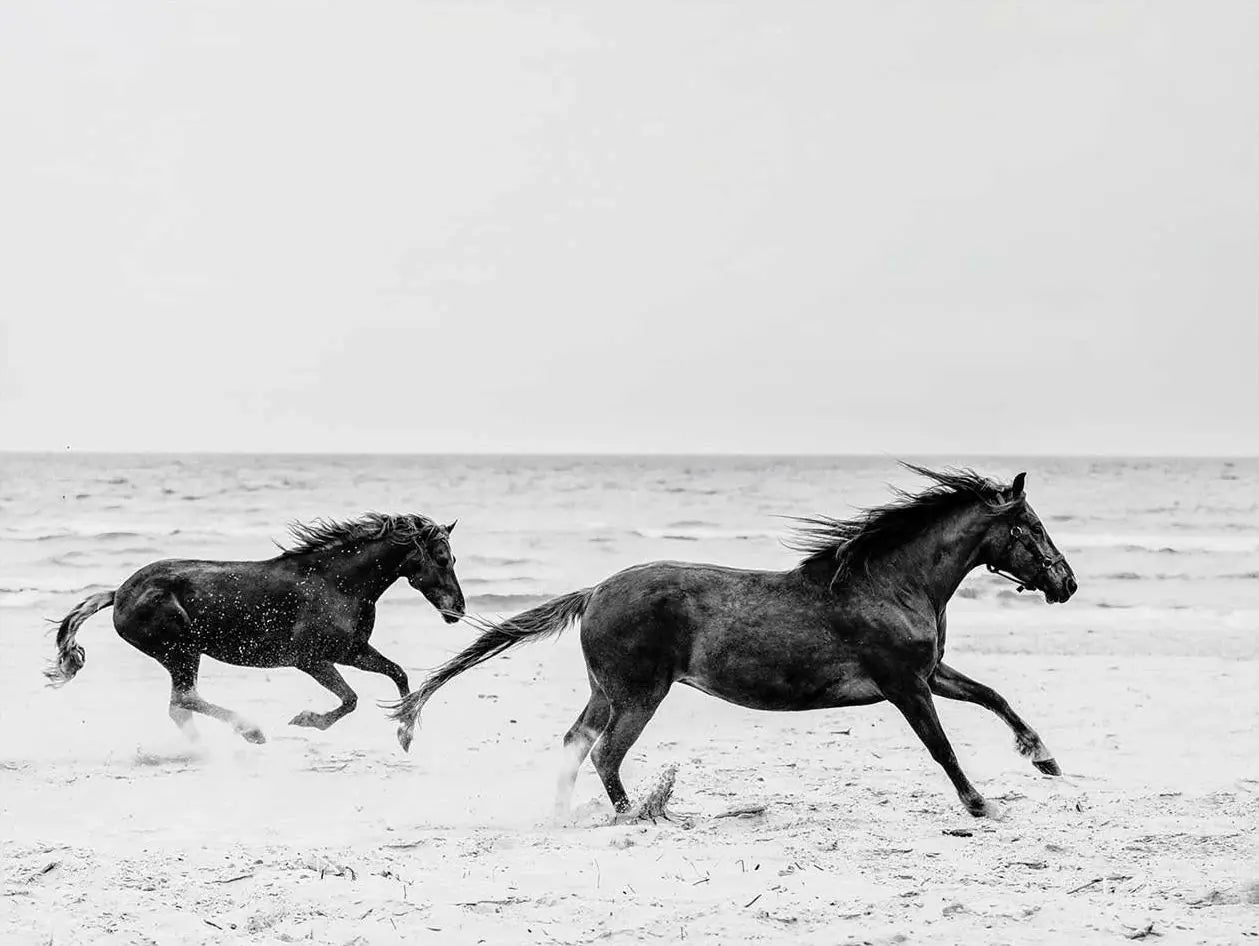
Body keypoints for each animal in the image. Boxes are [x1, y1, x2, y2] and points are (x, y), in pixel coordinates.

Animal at [47, 512, 464, 746]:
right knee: (185, 700)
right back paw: (250, 732)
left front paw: (405, 732)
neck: (336, 582)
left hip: (181, 655)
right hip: (182, 651)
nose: (459, 610)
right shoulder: (311, 659)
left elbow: (399, 675)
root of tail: (118, 593)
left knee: (180, 707)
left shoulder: (351, 651)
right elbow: (350, 699)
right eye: (443, 558)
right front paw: (307, 720)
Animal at [388, 466, 1078, 819]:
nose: (1067, 582)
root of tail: (596, 590)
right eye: (1031, 525)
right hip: (640, 694)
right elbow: (941, 747)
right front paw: (979, 804)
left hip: (606, 692)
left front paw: (1044, 759)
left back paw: (562, 814)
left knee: (576, 743)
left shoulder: (930, 673)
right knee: (606, 754)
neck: (888, 583)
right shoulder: (904, 684)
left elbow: (995, 697)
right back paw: (637, 816)